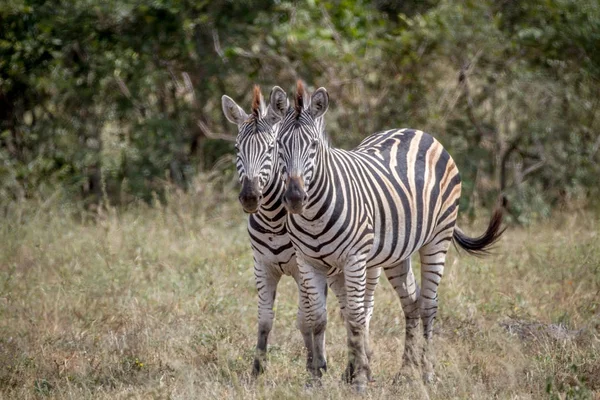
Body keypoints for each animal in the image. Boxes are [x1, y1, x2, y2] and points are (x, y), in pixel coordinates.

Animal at [221, 84, 328, 378]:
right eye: (237, 148)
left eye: (270, 148)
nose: (249, 197)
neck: (272, 219)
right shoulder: (262, 266)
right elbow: (265, 320)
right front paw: (257, 368)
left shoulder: (301, 269)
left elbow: (305, 320)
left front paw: (312, 366)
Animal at [270, 82, 504, 390]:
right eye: (278, 145)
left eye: (313, 146)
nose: (295, 198)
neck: (313, 216)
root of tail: (417, 131)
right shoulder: (307, 261)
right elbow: (317, 318)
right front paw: (316, 377)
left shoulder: (354, 259)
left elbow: (356, 318)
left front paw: (359, 379)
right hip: (396, 253)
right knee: (412, 304)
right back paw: (405, 373)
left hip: (438, 237)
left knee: (428, 305)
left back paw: (427, 374)